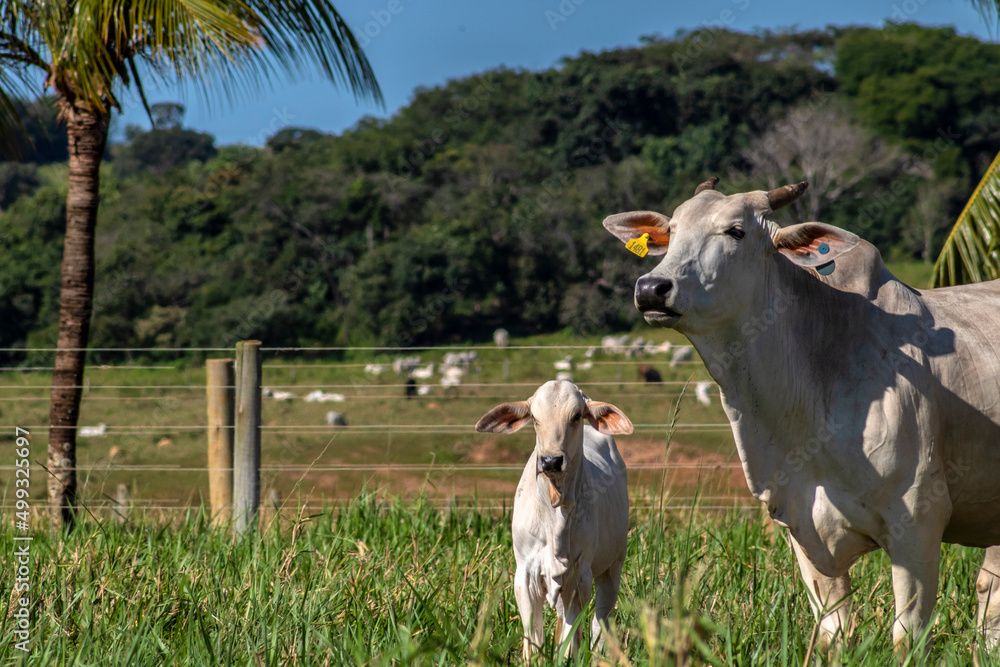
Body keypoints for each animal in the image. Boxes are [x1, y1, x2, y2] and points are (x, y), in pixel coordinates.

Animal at [475, 380, 632, 659]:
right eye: (535, 418)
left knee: (600, 622)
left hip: (613, 567)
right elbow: (533, 637)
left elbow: (572, 634)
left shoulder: (581, 576)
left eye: (577, 415)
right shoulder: (525, 574)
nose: (550, 461)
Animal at [603, 178, 1000, 654]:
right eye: (672, 231)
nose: (652, 287)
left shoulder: (918, 523)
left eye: (735, 231)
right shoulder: (802, 529)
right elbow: (833, 635)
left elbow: (907, 638)